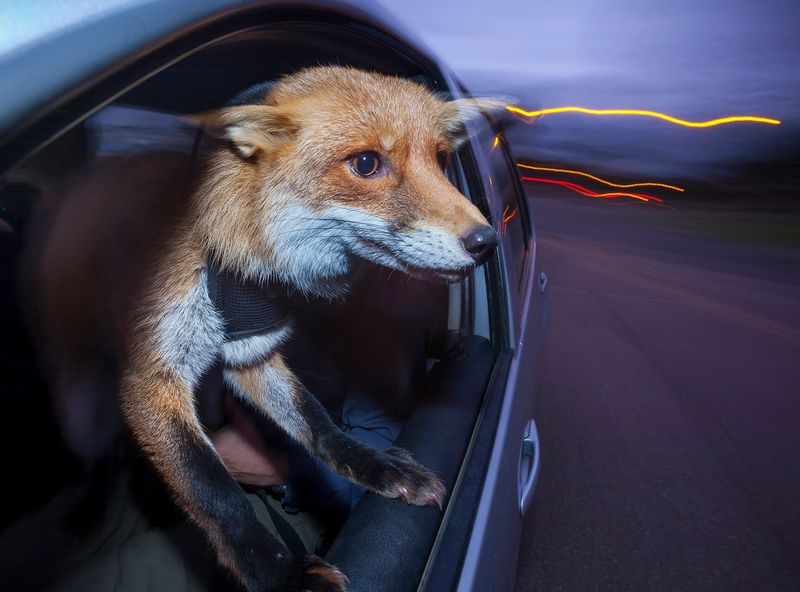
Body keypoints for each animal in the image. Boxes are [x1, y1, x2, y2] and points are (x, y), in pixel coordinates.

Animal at [28, 66, 501, 591]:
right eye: (365, 163)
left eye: (440, 160)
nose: (487, 241)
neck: (230, 259)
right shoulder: (152, 378)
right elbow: (215, 491)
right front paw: (278, 574)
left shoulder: (252, 353)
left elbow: (317, 425)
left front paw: (378, 467)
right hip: (81, 405)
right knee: (97, 456)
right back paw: (90, 511)